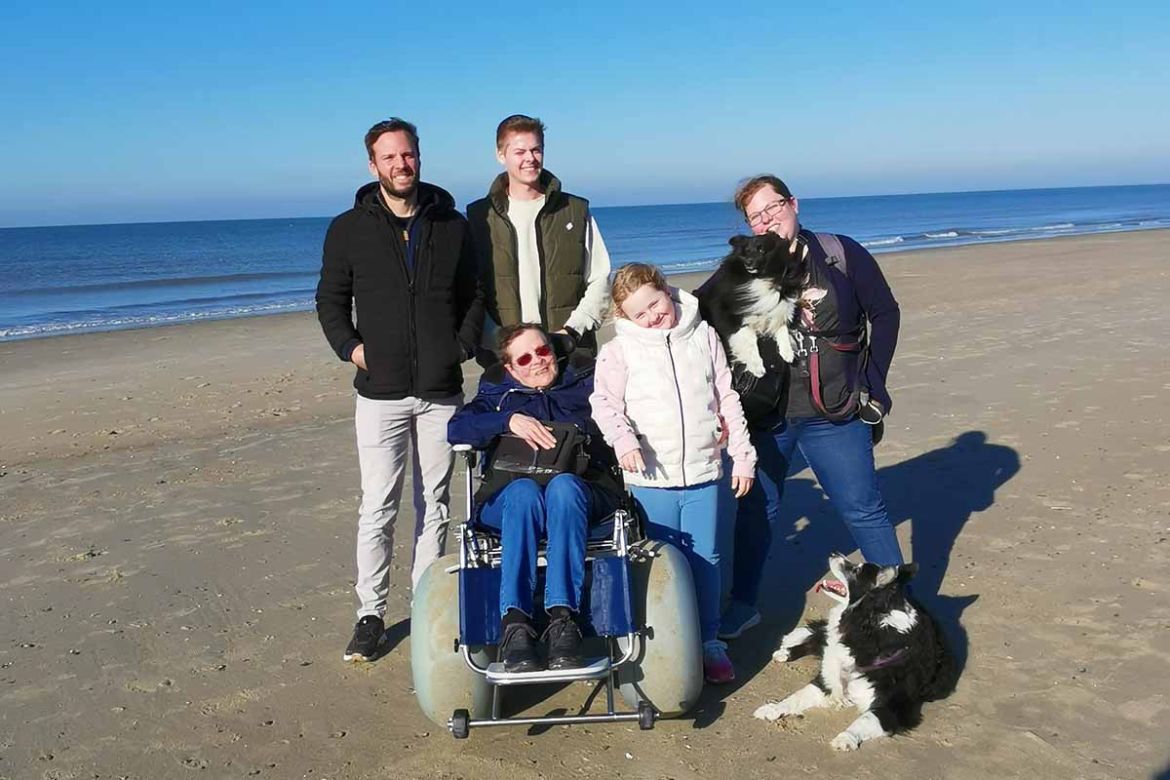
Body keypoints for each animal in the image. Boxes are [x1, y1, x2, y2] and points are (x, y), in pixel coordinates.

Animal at [692, 231, 804, 378]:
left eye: (761, 249)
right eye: (746, 251)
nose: (748, 262)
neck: (761, 278)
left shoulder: (779, 308)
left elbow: (782, 327)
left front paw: (788, 352)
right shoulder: (732, 320)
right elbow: (750, 340)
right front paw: (757, 367)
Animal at [753, 551, 954, 753]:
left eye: (856, 570)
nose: (834, 552)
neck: (868, 625)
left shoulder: (889, 708)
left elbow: (863, 719)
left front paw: (845, 738)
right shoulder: (827, 679)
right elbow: (797, 696)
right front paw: (773, 708)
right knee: (817, 638)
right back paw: (785, 651)